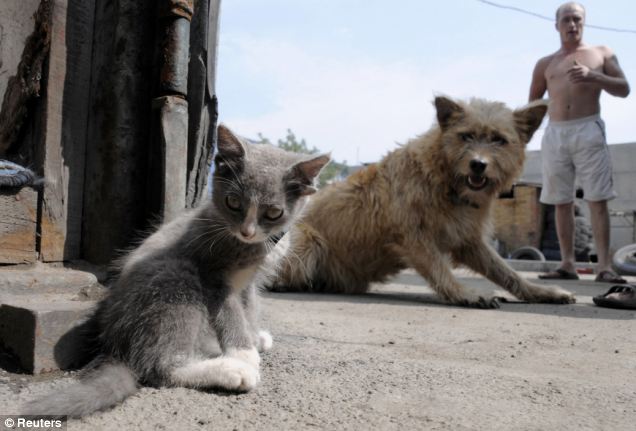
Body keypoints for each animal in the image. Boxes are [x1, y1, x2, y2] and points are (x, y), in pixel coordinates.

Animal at [22, 125, 330, 418]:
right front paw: (244, 353)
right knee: (162, 367)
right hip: (175, 277)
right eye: (233, 202)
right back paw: (230, 371)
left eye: (274, 213)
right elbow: (231, 313)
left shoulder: (249, 282)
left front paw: (254, 335)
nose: (247, 231)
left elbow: (249, 307)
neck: (247, 244)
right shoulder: (211, 273)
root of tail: (116, 345)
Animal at [268, 96, 576, 308]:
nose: (478, 164)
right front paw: (465, 294)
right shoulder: (413, 238)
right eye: (466, 135)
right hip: (307, 241)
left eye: (499, 140)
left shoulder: (469, 241)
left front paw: (542, 293)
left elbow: (506, 272)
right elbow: (440, 270)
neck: (444, 180)